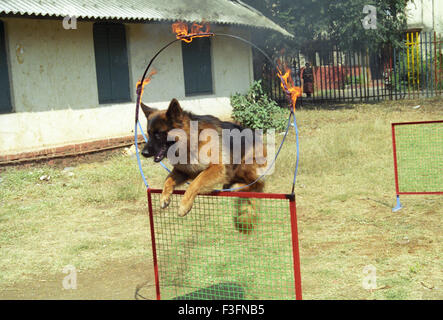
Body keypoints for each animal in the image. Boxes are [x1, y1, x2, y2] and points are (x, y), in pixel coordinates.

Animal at [141, 99, 268, 231]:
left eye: (158, 134)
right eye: (149, 133)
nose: (143, 153)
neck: (191, 141)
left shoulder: (217, 167)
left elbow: (196, 182)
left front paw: (184, 205)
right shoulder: (183, 170)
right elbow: (168, 180)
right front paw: (164, 197)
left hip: (244, 164)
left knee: (257, 185)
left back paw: (237, 186)